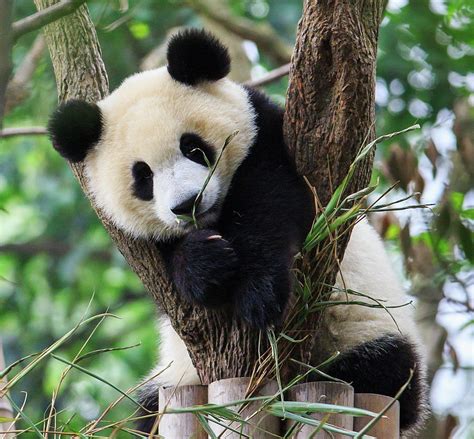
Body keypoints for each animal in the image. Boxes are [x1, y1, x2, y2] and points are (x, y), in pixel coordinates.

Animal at [48, 30, 426, 436]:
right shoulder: (142, 245)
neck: (216, 218)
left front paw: (258, 294)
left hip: (365, 331)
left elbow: (272, 203)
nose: (187, 204)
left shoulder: (268, 139)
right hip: (172, 380)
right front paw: (204, 264)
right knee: (148, 412)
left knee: (378, 371)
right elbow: (166, 261)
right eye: (143, 176)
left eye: (193, 147)